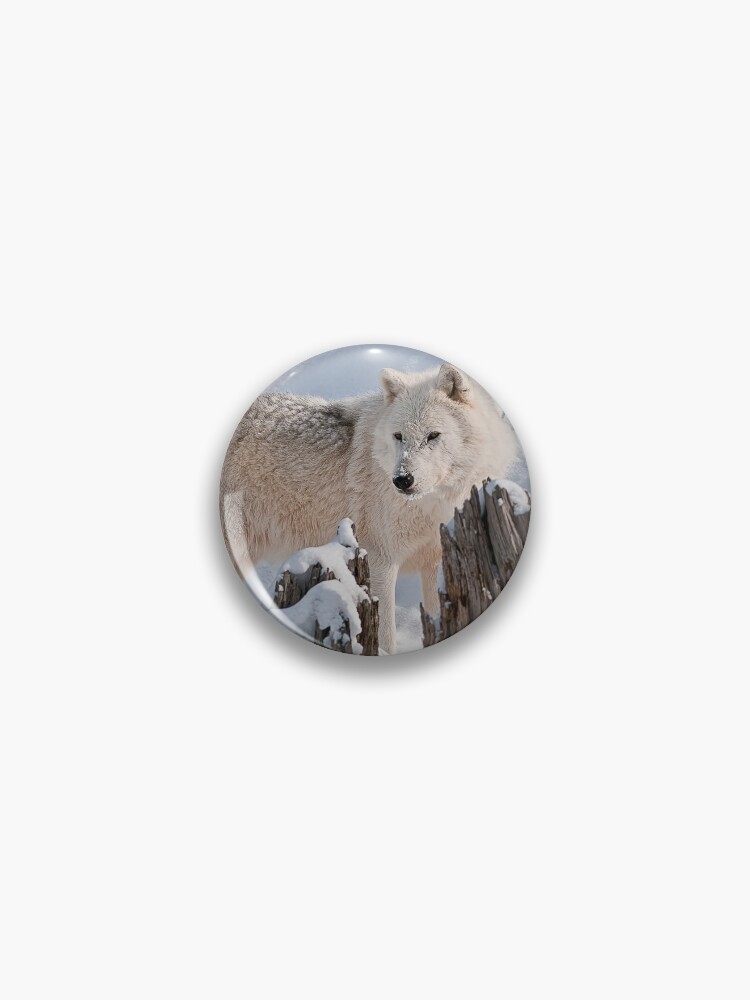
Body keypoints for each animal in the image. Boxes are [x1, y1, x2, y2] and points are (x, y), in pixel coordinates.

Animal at [221, 364, 519, 653]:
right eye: (399, 436)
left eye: (433, 435)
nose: (402, 479)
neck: (431, 505)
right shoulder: (380, 562)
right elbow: (386, 636)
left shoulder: (435, 561)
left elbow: (437, 615)